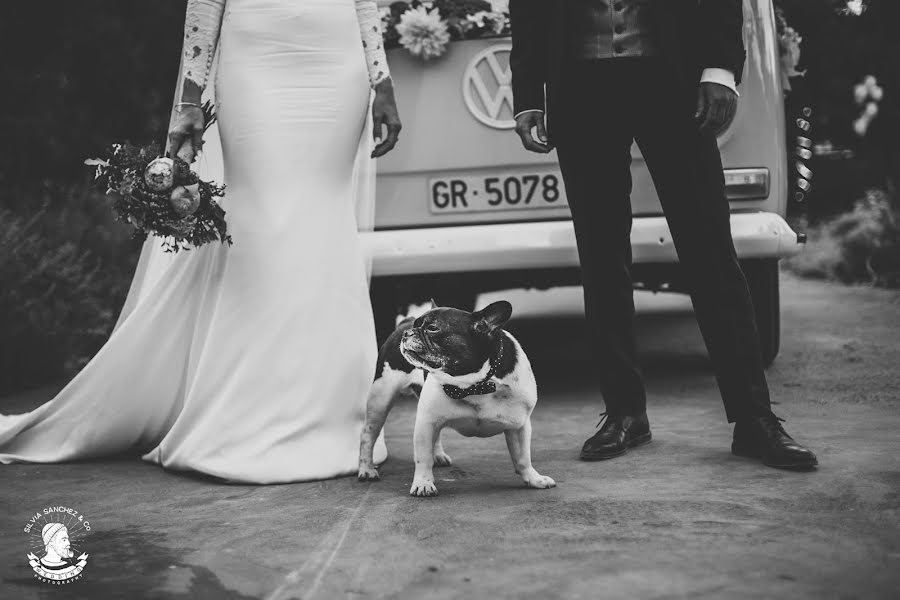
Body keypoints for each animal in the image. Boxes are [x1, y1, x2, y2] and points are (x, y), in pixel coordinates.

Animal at [358, 300, 556, 496]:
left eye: (432, 328)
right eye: (418, 326)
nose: (408, 333)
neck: (474, 384)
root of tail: (403, 323)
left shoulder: (519, 425)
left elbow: (523, 457)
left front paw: (534, 479)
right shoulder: (425, 422)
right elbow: (422, 457)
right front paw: (423, 483)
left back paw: (437, 455)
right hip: (381, 397)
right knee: (368, 435)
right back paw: (366, 469)